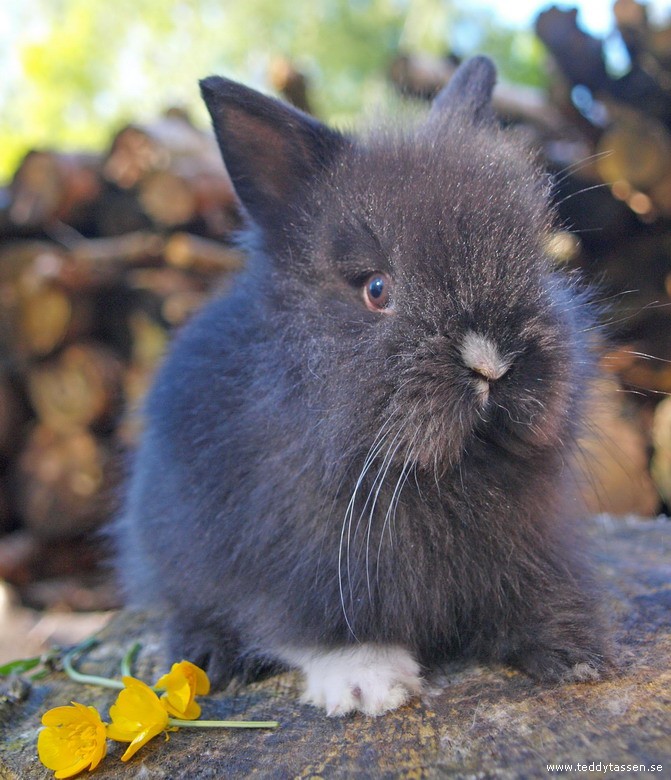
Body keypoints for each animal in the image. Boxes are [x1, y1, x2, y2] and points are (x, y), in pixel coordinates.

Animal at [115, 58, 616, 720]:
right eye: (376, 289)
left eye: (535, 261)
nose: (493, 363)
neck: (448, 476)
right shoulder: (284, 561)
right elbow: (307, 625)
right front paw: (370, 683)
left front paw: (577, 651)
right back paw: (206, 658)